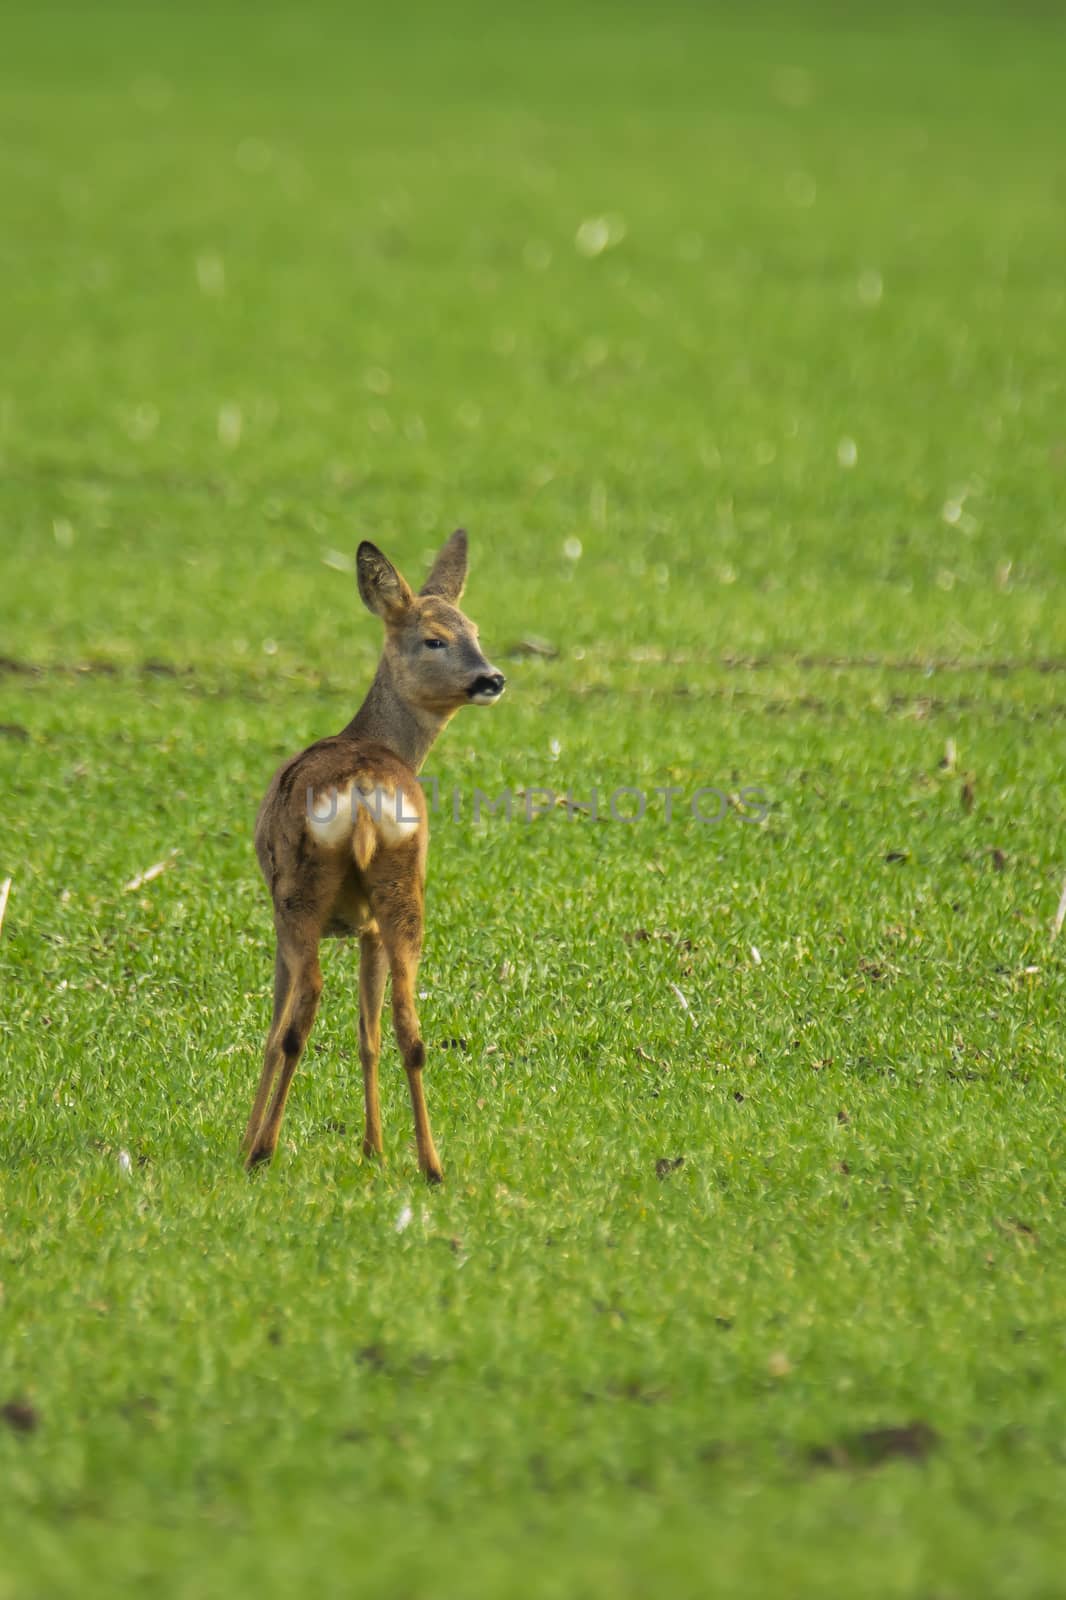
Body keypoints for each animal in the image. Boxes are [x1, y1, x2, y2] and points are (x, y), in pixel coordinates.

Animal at [243, 534, 505, 1177]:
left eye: (474, 630)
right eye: (436, 638)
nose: (491, 677)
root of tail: (363, 796)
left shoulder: (280, 914)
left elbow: (274, 1025)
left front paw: (244, 1137)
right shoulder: (367, 929)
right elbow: (369, 1034)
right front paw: (374, 1147)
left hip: (299, 894)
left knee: (301, 1013)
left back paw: (262, 1149)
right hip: (403, 887)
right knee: (410, 1026)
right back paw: (430, 1164)